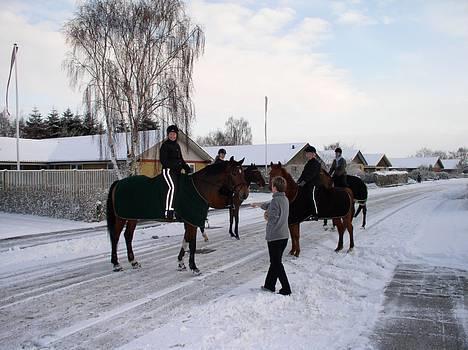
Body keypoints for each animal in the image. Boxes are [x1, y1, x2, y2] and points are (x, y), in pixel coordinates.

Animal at [108, 156, 250, 274]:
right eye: (234, 173)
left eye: (243, 173)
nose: (244, 194)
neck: (198, 188)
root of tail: (118, 183)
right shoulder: (192, 221)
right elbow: (192, 243)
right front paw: (193, 266)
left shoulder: (190, 221)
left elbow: (186, 240)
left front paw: (181, 262)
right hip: (121, 217)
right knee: (115, 236)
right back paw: (116, 264)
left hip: (132, 217)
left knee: (128, 236)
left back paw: (133, 261)